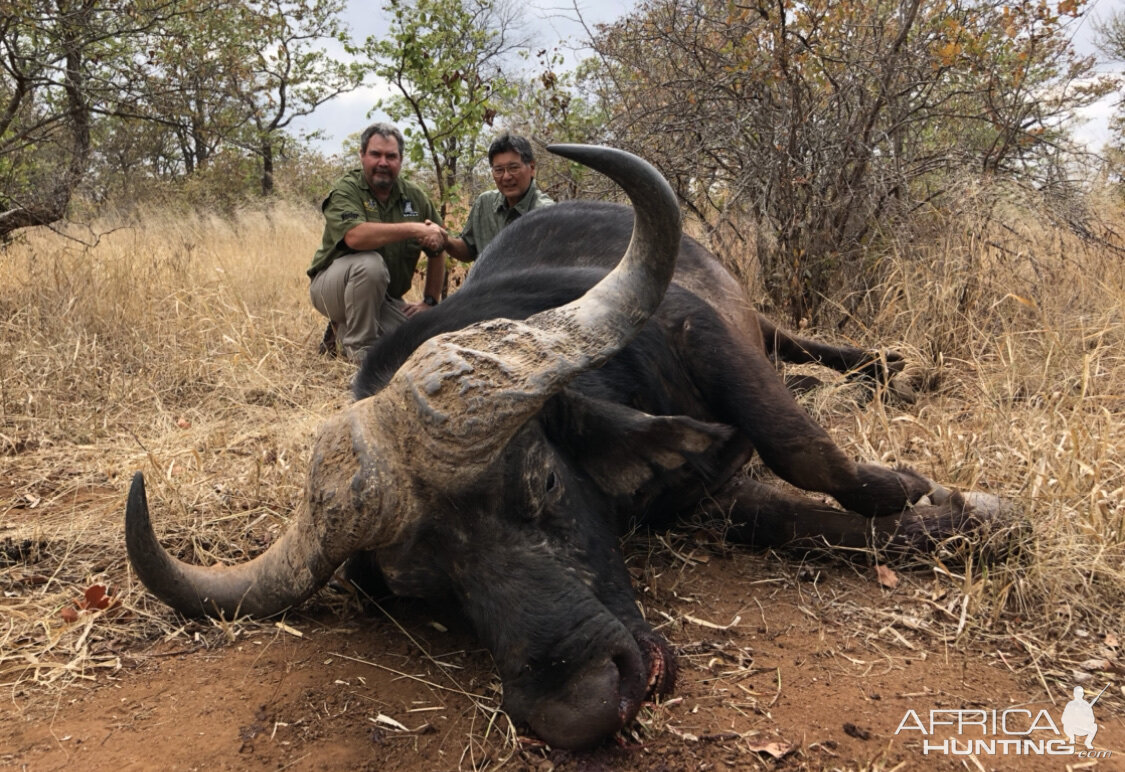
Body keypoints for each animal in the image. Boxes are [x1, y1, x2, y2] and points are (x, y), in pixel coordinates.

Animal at [127, 143, 1008, 751]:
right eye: (424, 588)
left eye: (543, 486)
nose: (580, 705)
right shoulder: (710, 495)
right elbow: (802, 519)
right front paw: (960, 516)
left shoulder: (704, 337)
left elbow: (803, 449)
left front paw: (916, 487)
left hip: (759, 322)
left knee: (809, 351)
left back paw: (891, 370)